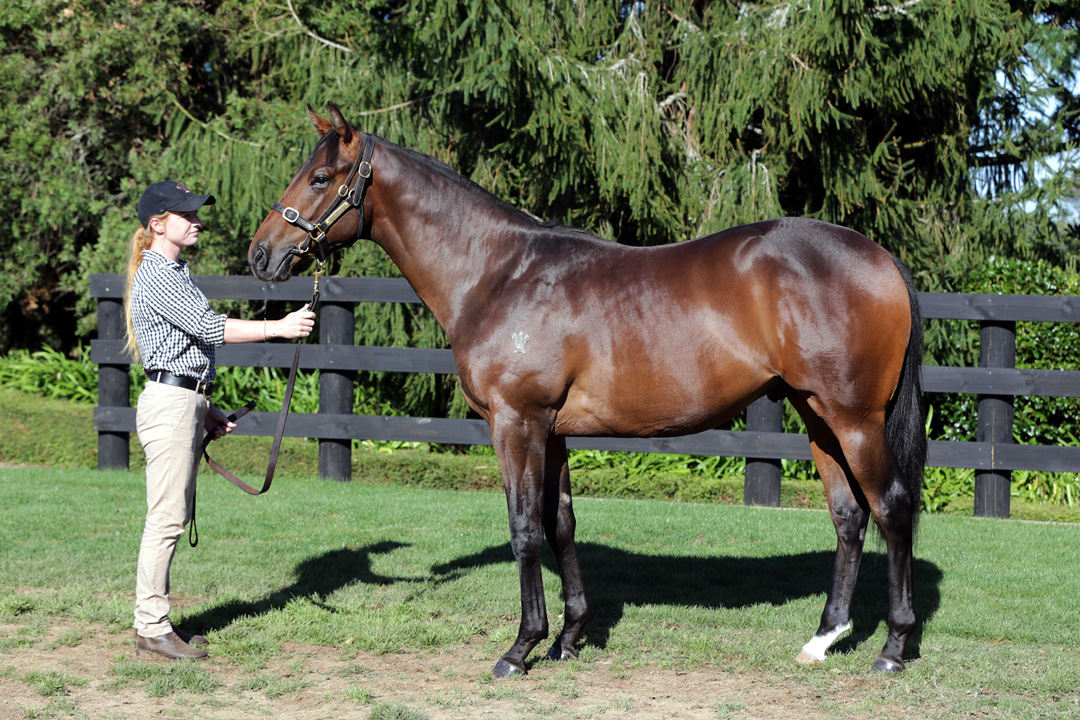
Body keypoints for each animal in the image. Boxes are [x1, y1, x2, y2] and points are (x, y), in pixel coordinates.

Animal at [249, 102, 927, 677]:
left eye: (320, 177)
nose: (261, 255)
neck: (499, 273)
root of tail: (881, 258)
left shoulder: (515, 422)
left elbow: (525, 527)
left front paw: (520, 648)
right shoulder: (553, 431)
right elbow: (561, 524)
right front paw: (568, 638)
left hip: (854, 418)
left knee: (891, 508)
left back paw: (893, 647)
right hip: (818, 418)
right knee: (848, 517)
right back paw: (823, 639)